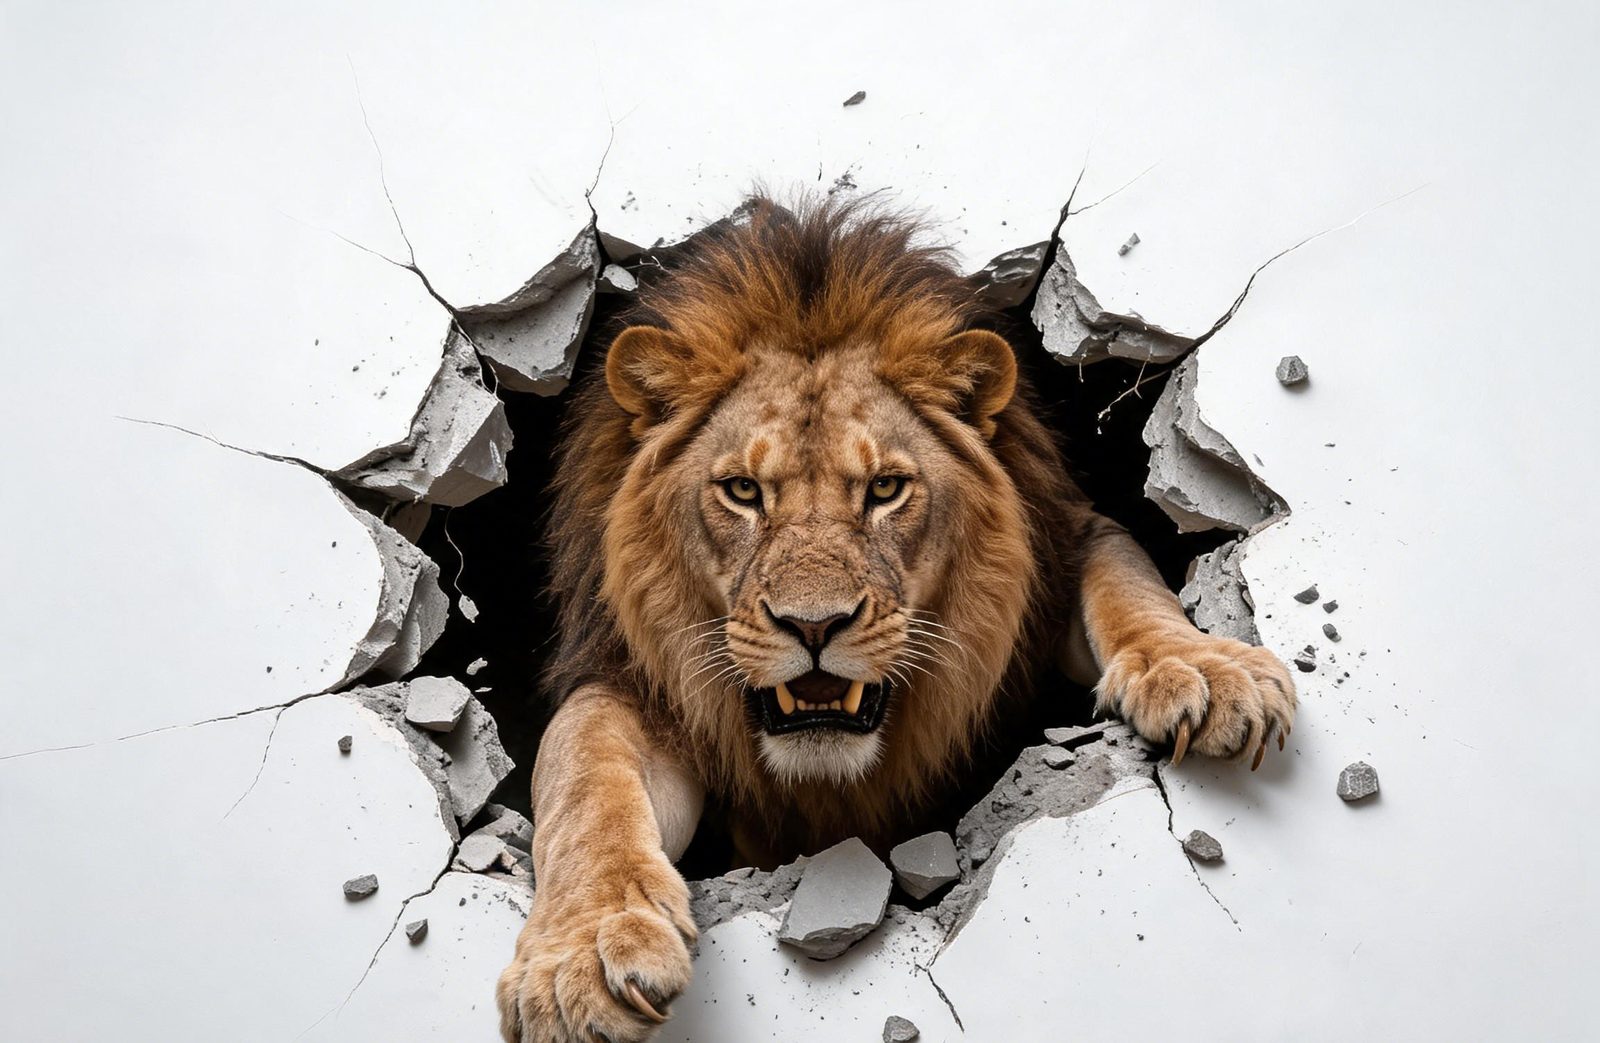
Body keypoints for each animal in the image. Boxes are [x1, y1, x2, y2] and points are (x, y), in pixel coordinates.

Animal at [496, 194, 1296, 1042]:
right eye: (743, 490)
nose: (814, 626)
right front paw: (577, 957)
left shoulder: (1064, 540)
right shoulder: (625, 676)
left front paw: (1206, 667)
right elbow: (585, 773)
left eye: (884, 488)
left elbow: (1127, 579)